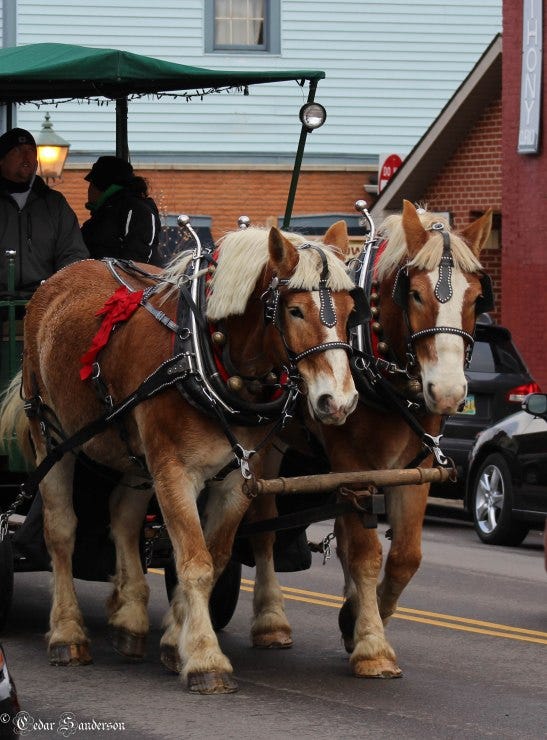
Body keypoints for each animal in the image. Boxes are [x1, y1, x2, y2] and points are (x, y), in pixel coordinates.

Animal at [2, 220, 362, 692]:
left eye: (352, 310)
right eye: (296, 311)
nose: (339, 402)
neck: (205, 356)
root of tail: (58, 279)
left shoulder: (235, 479)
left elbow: (213, 558)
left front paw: (176, 640)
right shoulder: (174, 470)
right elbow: (195, 562)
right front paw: (206, 659)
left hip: (134, 453)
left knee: (123, 516)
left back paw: (130, 617)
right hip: (51, 433)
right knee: (61, 531)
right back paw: (67, 633)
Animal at [250, 201, 494, 676]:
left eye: (476, 298)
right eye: (415, 294)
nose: (449, 392)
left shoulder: (413, 470)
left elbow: (403, 557)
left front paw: (358, 620)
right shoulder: (352, 465)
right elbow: (365, 552)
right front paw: (371, 645)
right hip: (269, 450)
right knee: (264, 529)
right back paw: (271, 621)